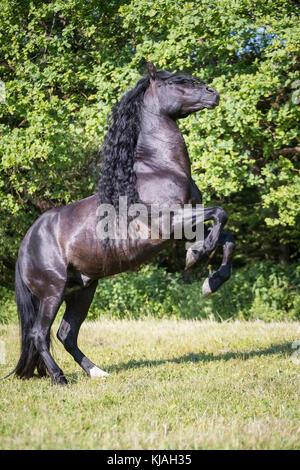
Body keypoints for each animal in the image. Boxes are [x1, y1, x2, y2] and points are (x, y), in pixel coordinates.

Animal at [12, 61, 234, 386]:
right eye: (176, 82)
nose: (213, 93)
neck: (158, 169)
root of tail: (27, 243)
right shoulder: (169, 224)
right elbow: (220, 214)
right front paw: (195, 257)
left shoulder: (184, 226)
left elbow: (226, 236)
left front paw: (211, 282)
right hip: (52, 293)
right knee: (40, 335)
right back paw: (59, 379)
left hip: (82, 290)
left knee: (66, 334)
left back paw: (97, 372)